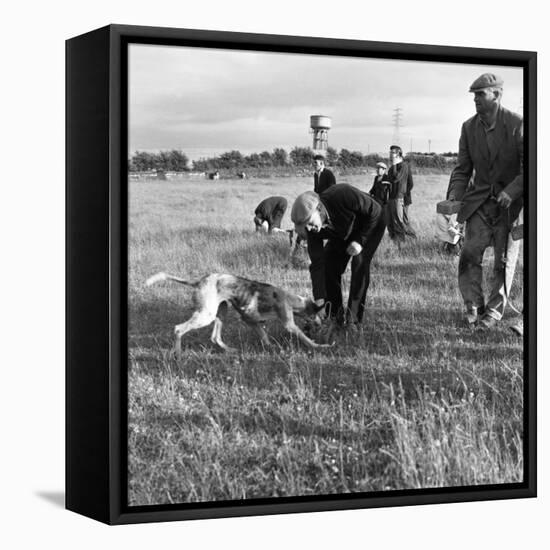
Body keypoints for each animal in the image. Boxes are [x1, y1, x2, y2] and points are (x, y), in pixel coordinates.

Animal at [146, 272, 332, 358]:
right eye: (320, 315)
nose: (322, 323)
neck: (288, 298)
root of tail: (200, 280)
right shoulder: (290, 326)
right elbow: (307, 340)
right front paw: (320, 346)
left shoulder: (251, 321)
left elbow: (265, 338)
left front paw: (273, 349)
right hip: (206, 316)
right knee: (178, 329)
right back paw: (177, 354)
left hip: (221, 312)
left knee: (215, 337)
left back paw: (231, 350)